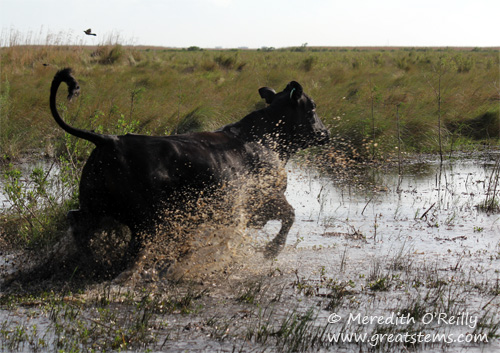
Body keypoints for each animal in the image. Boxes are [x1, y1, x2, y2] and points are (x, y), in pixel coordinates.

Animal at [48, 69, 330, 270]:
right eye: (313, 107)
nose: (326, 133)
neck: (266, 138)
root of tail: (109, 140)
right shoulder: (267, 199)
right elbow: (290, 215)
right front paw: (272, 251)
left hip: (95, 206)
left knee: (77, 221)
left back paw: (90, 258)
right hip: (146, 221)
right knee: (132, 251)